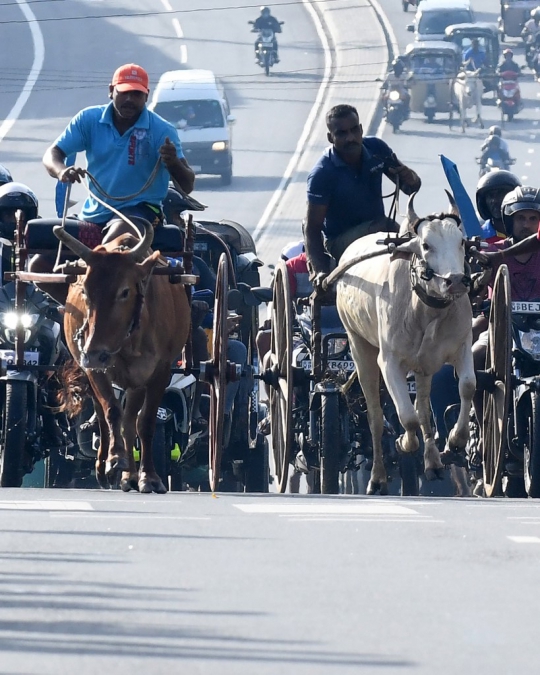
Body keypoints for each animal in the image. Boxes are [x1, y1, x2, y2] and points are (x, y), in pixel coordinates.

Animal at [55, 220, 190, 492]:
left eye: (125, 291)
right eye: (85, 291)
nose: (95, 354)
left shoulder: (160, 371)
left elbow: (145, 423)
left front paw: (149, 476)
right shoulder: (95, 368)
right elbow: (111, 411)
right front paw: (115, 458)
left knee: (130, 423)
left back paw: (131, 476)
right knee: (107, 416)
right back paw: (107, 467)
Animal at [336, 195, 474, 496]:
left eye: (460, 241)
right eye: (426, 245)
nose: (457, 281)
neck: (425, 310)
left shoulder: (462, 347)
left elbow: (467, 387)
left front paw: (456, 440)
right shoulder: (389, 363)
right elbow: (406, 417)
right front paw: (404, 443)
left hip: (423, 369)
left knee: (423, 409)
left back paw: (433, 463)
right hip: (359, 346)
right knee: (375, 417)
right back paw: (377, 478)